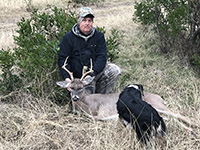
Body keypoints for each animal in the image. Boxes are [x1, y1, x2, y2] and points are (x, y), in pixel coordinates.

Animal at [56, 56, 198, 132]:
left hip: (157, 105)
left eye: (80, 87)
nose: (75, 98)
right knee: (168, 118)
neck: (86, 105)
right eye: (70, 88)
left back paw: (194, 127)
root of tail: (160, 97)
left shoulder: (103, 113)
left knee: (177, 114)